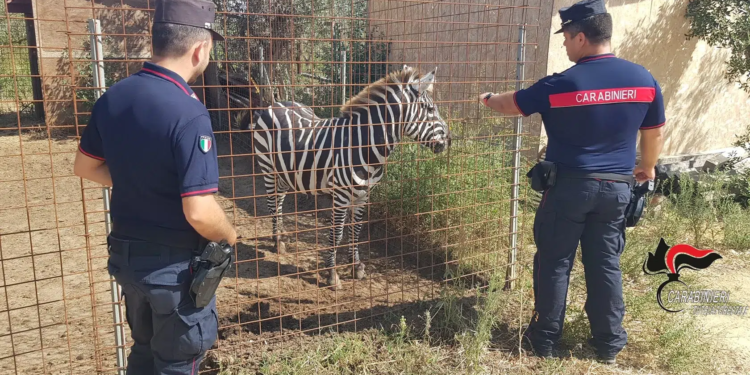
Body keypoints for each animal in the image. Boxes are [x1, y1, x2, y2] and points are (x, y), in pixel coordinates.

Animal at [245, 64, 452, 290]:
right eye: (430, 109)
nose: (449, 141)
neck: (363, 145)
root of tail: (275, 104)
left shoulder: (363, 195)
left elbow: (356, 230)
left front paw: (356, 266)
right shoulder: (341, 196)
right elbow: (337, 234)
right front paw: (332, 275)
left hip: (284, 173)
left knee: (280, 202)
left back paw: (280, 235)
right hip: (268, 168)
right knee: (272, 203)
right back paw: (277, 242)